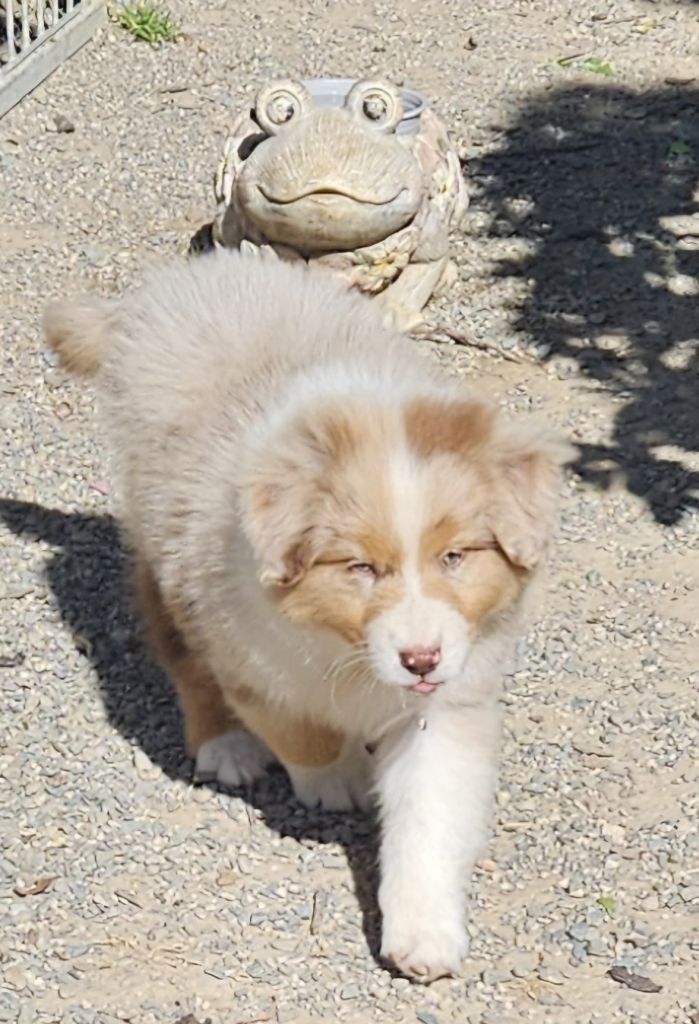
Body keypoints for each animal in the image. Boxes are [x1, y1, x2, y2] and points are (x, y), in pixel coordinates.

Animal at [44, 249, 569, 982]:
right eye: (361, 568)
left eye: (455, 556)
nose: (420, 659)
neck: (347, 652)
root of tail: (173, 284)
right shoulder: (249, 649)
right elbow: (299, 731)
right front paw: (339, 778)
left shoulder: (449, 701)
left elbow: (430, 815)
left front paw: (424, 934)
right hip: (165, 541)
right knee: (175, 645)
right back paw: (225, 744)